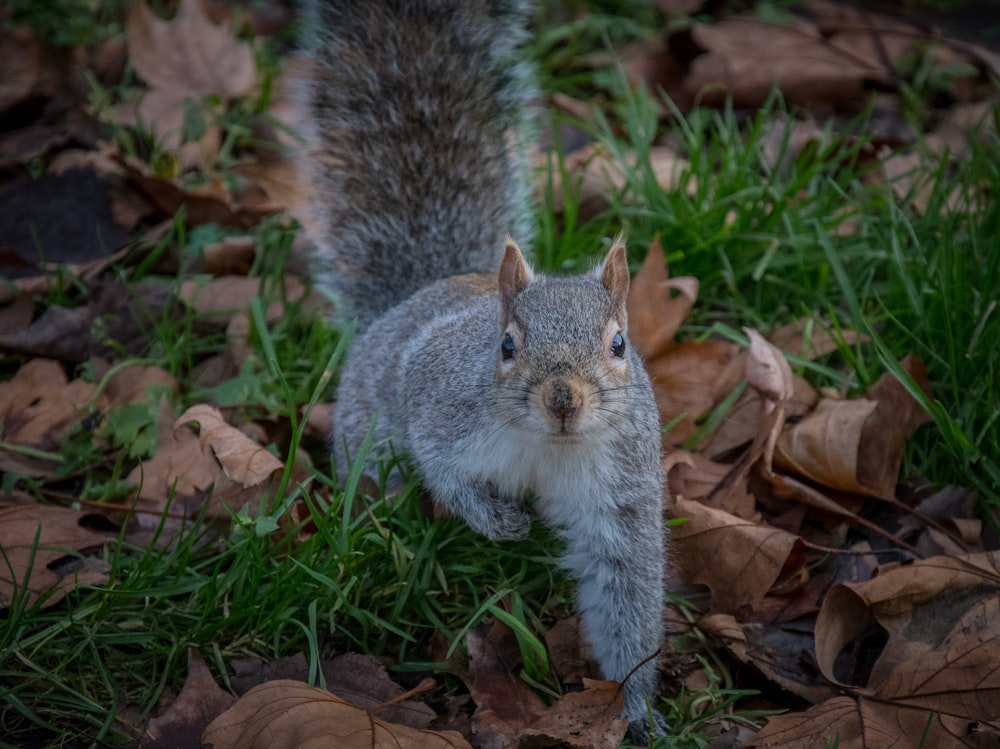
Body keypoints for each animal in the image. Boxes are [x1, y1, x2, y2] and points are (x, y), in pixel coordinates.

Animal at [300, 0, 668, 740]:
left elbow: (626, 586)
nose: (563, 399)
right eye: (505, 346)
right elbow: (444, 470)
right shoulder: (443, 414)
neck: (546, 449)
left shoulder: (620, 487)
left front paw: (637, 707)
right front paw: (502, 524)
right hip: (369, 434)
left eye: (619, 344)